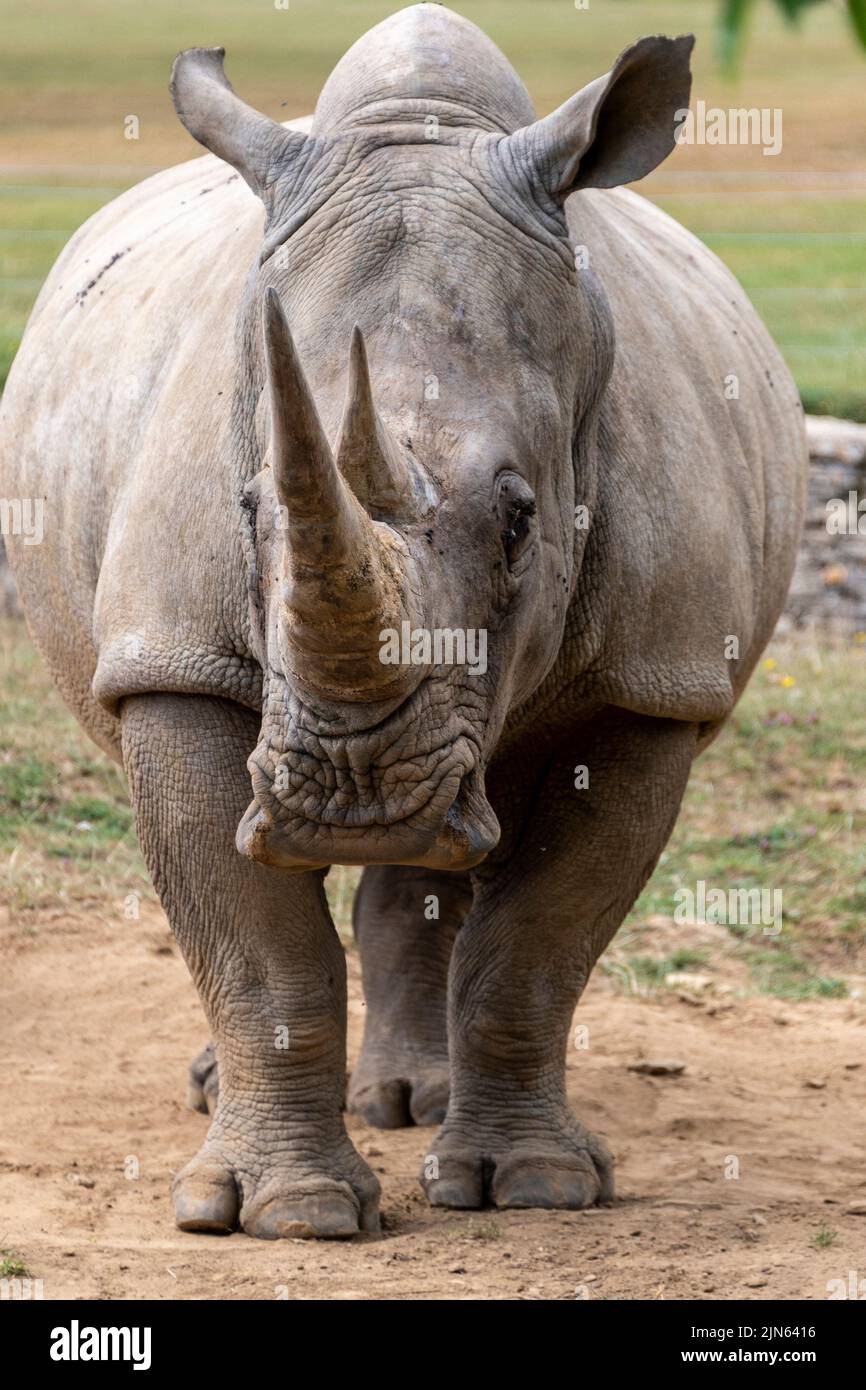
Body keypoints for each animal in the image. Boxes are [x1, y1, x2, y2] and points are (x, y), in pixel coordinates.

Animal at [1, 3, 806, 1239]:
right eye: (249, 510)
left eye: (521, 521)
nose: (352, 799)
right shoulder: (172, 658)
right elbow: (256, 950)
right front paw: (279, 1213)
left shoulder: (651, 683)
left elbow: (536, 945)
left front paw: (535, 1186)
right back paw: (231, 1089)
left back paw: (408, 1100)